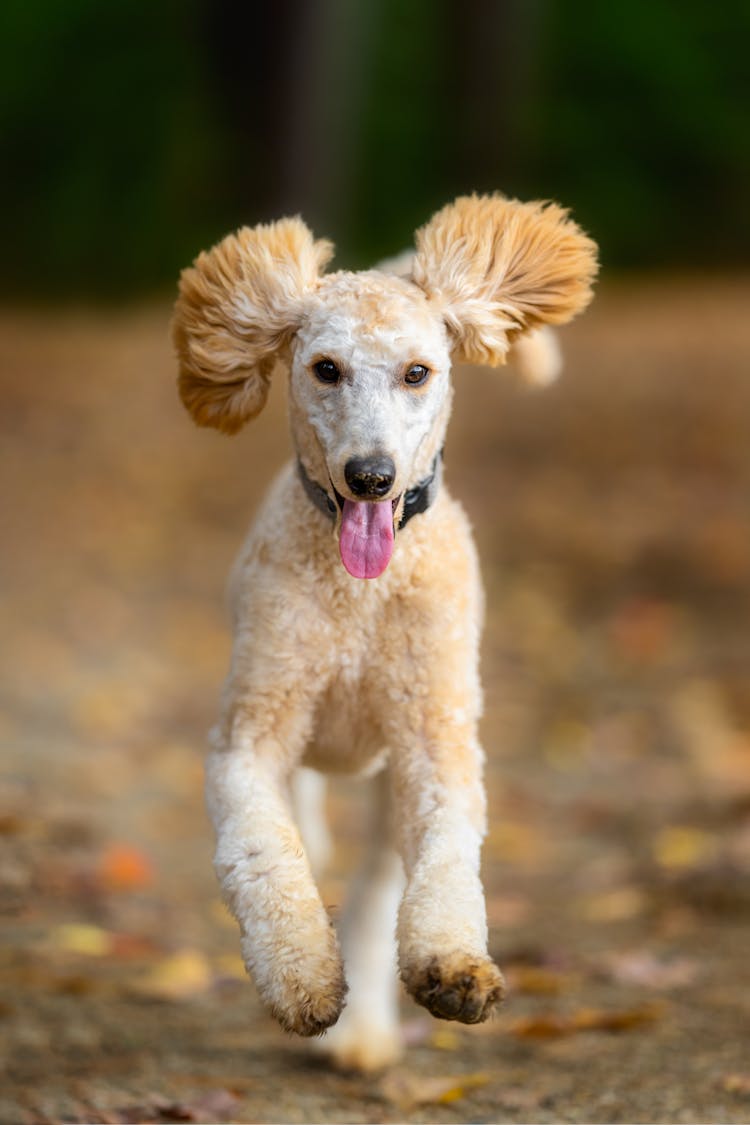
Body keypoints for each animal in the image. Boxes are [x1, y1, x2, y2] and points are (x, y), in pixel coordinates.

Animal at [172, 195, 598, 1071]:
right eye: (326, 368)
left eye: (417, 372)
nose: (370, 476)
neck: (359, 601)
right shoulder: (250, 736)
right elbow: (264, 851)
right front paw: (300, 976)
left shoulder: (434, 742)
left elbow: (443, 861)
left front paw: (453, 967)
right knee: (307, 831)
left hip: (382, 778)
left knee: (373, 889)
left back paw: (366, 1030)